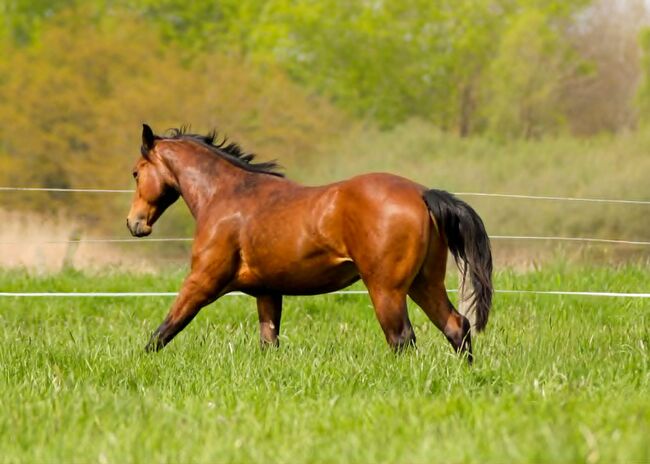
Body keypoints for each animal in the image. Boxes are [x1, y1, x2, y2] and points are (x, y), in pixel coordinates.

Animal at [127, 124, 492, 362]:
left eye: (135, 173)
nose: (134, 223)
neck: (224, 195)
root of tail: (421, 193)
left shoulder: (202, 281)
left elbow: (164, 330)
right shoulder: (268, 292)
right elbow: (268, 342)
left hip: (386, 290)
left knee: (402, 338)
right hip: (423, 283)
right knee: (456, 326)